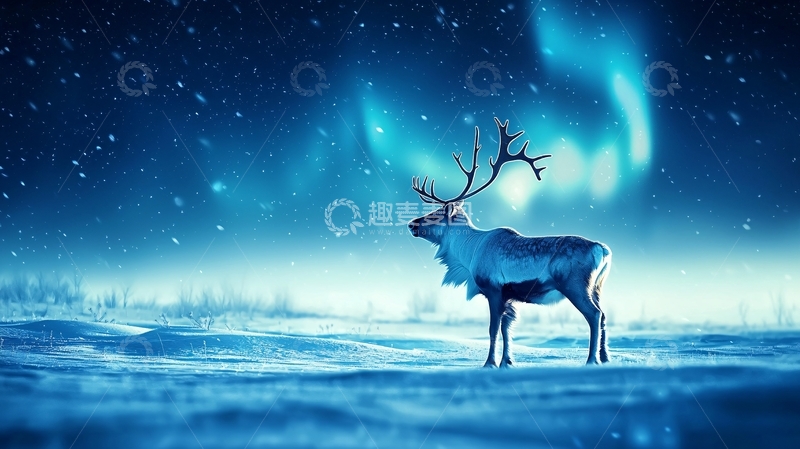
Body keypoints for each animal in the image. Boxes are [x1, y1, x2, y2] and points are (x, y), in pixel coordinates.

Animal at [408, 117, 612, 367]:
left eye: (435, 214)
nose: (411, 224)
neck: (468, 254)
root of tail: (602, 249)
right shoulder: (509, 296)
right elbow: (507, 328)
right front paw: (507, 362)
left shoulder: (494, 289)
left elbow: (493, 329)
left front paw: (489, 363)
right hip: (598, 286)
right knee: (604, 314)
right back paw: (606, 358)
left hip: (575, 285)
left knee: (594, 314)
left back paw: (592, 360)